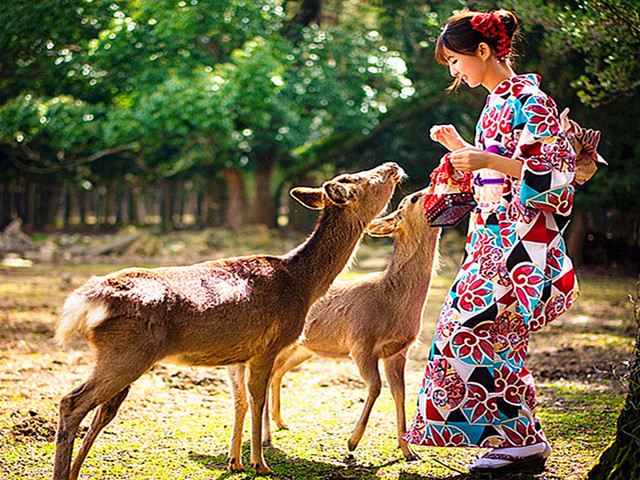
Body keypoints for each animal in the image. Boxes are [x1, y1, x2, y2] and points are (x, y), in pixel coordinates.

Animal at [53, 163, 400, 478]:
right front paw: (260, 464)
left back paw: (74, 472)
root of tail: (86, 299)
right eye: (366, 179)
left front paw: (235, 461)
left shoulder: (238, 354)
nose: (393, 166)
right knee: (72, 403)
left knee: (103, 411)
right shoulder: (267, 346)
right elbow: (258, 400)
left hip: (119, 355)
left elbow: (240, 402)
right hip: (127, 352)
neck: (303, 285)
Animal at [264, 188, 440, 462]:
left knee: (277, 372)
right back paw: (267, 436)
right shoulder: (361, 341)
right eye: (413, 198)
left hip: (304, 349)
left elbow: (400, 393)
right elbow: (376, 386)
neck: (393, 301)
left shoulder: (399, 350)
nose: (433, 188)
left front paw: (409, 451)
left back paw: (281, 423)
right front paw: (352, 442)